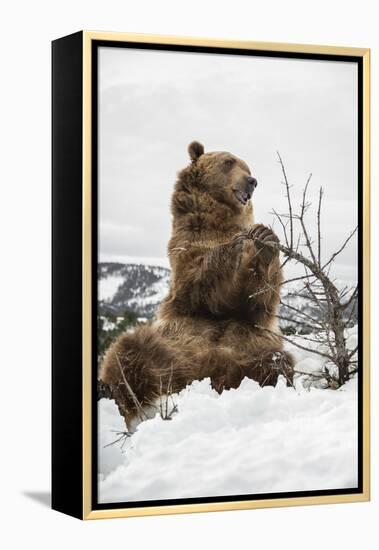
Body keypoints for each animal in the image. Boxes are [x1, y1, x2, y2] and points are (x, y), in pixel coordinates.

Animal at [100, 142, 294, 432]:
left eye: (247, 166)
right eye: (229, 162)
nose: (252, 181)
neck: (219, 220)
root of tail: (205, 371)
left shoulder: (251, 315)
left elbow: (257, 302)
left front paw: (264, 240)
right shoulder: (186, 248)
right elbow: (201, 284)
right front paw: (236, 244)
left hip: (247, 345)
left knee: (275, 361)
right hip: (169, 345)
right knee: (128, 351)